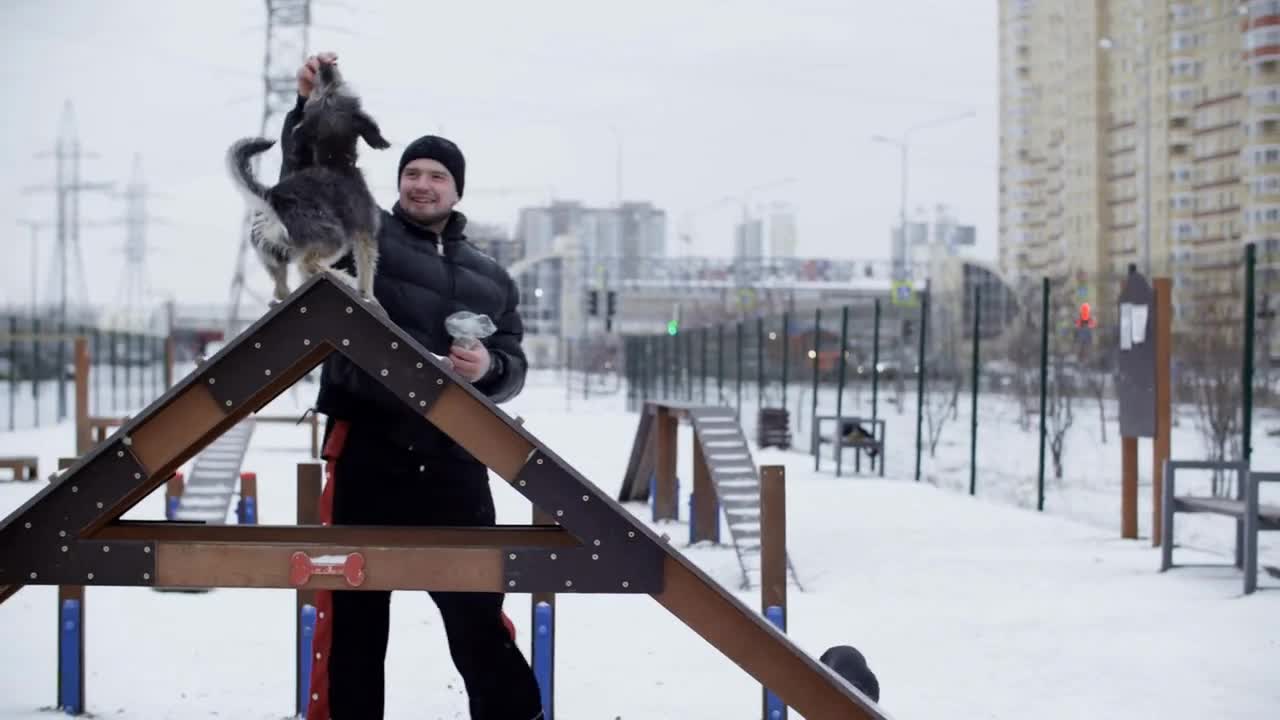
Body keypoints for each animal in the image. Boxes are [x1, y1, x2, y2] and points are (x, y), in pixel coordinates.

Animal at [225, 56, 391, 302]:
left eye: (321, 92)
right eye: (335, 89)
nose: (325, 65)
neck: (333, 159)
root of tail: (272, 198)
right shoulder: (365, 234)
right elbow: (367, 270)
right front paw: (368, 295)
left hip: (272, 256)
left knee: (282, 290)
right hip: (333, 238)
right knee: (308, 264)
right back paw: (342, 277)